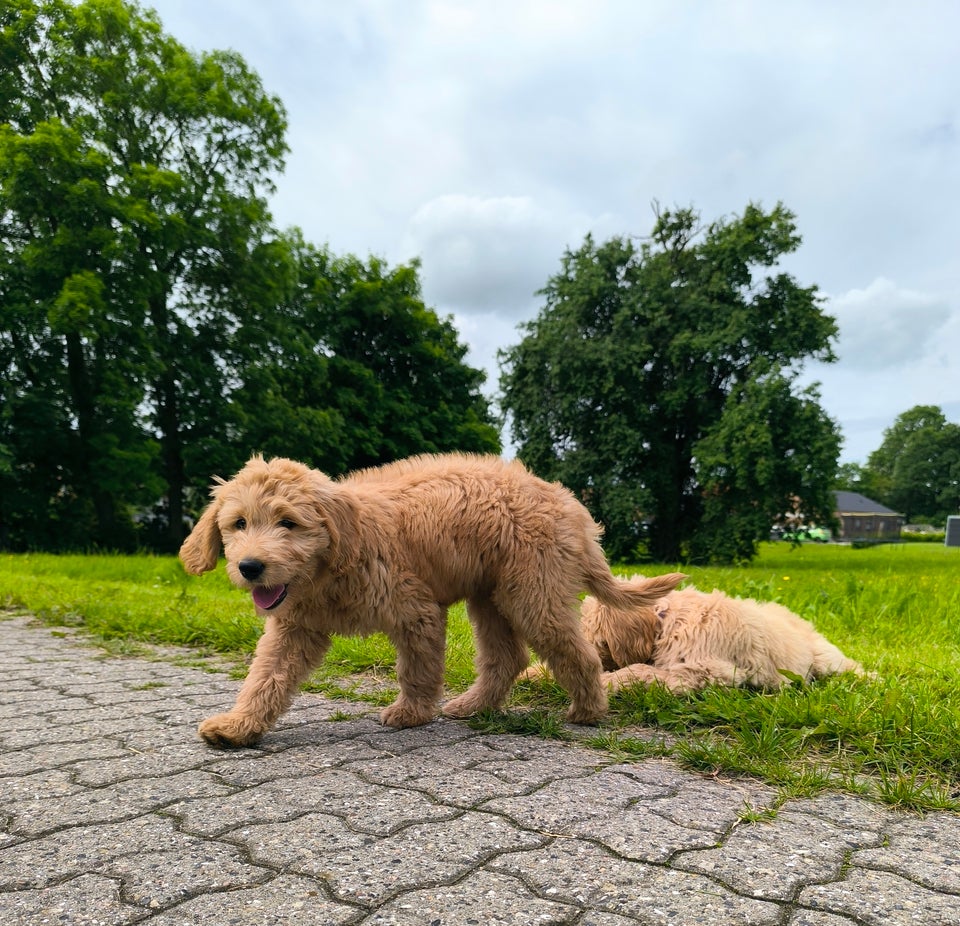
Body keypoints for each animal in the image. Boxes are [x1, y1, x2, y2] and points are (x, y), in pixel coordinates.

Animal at [180, 454, 688, 752]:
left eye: (288, 522)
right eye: (239, 523)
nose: (250, 567)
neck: (334, 562)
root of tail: (571, 506)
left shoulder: (414, 608)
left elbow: (417, 668)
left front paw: (411, 714)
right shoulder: (294, 627)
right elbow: (265, 678)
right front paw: (239, 725)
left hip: (531, 594)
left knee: (576, 653)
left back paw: (587, 711)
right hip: (491, 597)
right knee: (508, 657)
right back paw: (475, 706)